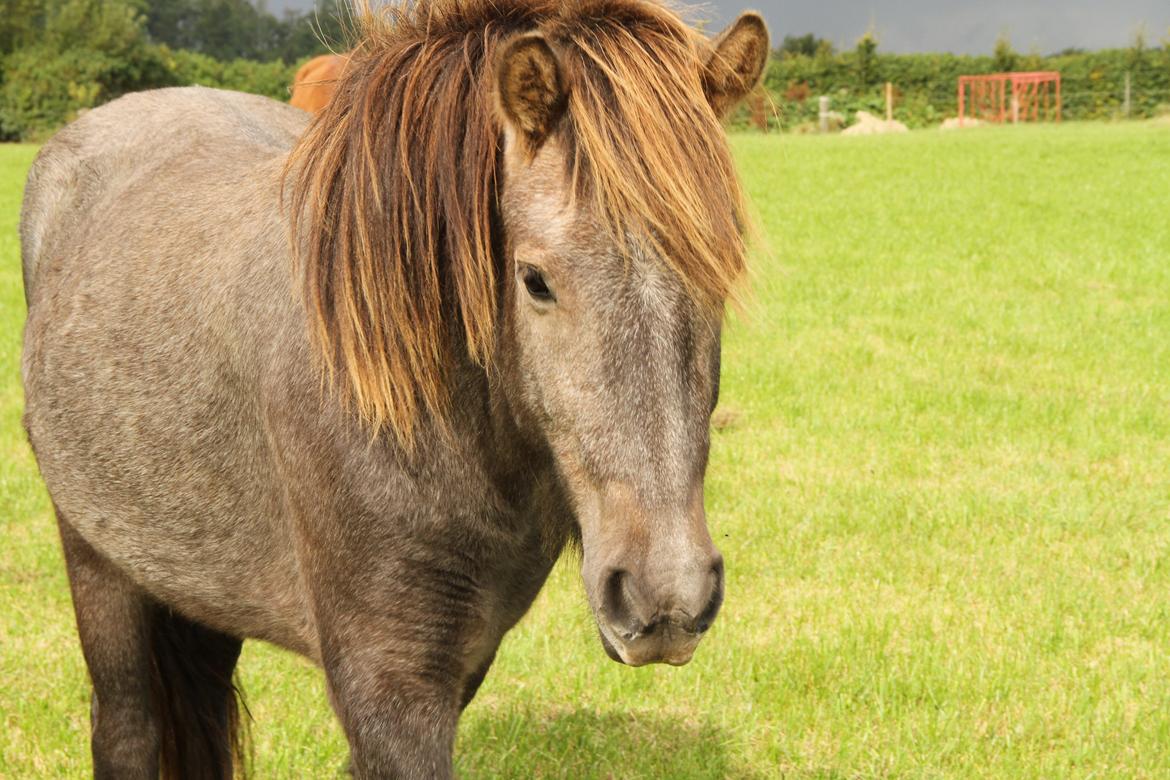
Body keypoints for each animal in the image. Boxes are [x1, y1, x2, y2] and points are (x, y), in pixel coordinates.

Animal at [20, 3, 767, 776]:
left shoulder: (459, 664)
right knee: (126, 730)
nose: (667, 596)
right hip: (99, 569)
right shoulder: (386, 682)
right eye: (535, 280)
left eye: (723, 270)